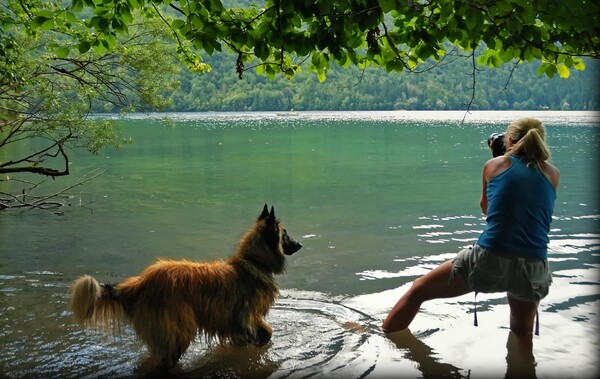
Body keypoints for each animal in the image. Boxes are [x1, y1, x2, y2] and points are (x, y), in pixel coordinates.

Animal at [70, 206, 302, 370]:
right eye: (285, 235)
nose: (300, 245)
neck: (255, 261)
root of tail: (140, 283)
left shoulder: (234, 321)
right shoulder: (246, 316)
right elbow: (265, 332)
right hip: (177, 330)